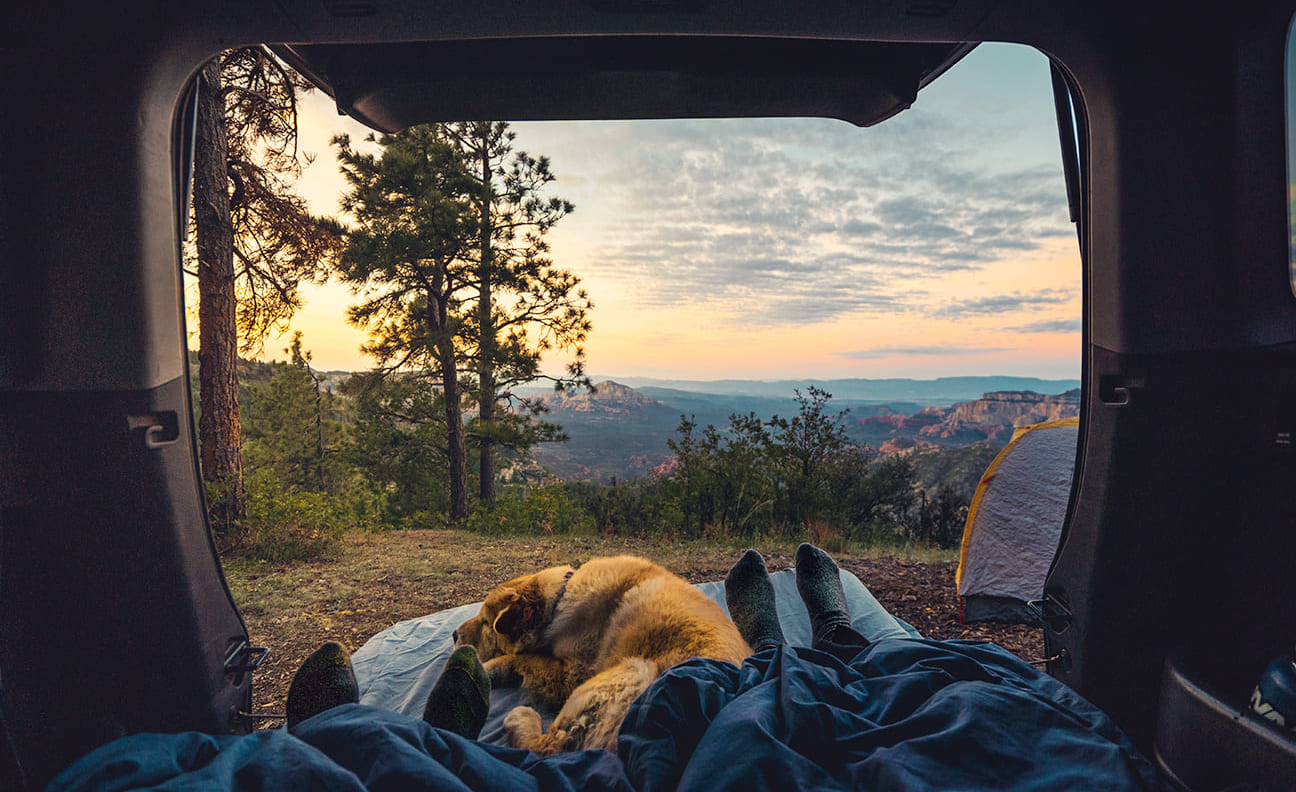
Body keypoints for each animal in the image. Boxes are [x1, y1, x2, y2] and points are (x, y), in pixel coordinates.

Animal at [453, 554, 751, 751]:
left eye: (485, 623)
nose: (454, 634)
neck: (560, 598)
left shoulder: (571, 675)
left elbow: (520, 658)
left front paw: (485, 668)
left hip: (630, 671)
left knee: (549, 748)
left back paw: (521, 718)